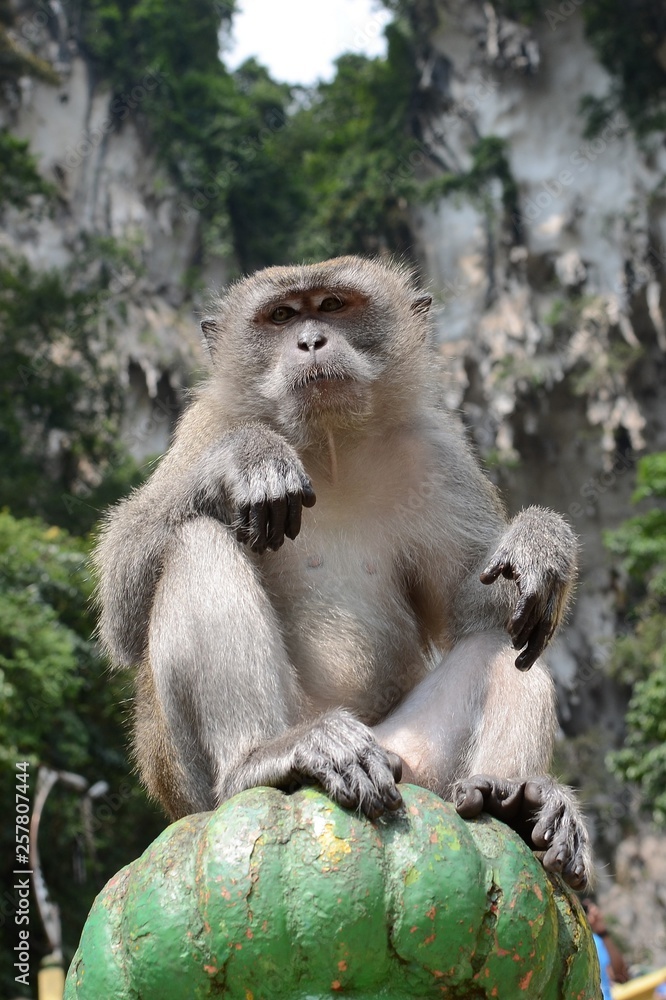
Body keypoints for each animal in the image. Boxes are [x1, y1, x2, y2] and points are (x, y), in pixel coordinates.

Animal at [94, 255, 591, 888]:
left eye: (332, 305)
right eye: (282, 315)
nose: (310, 341)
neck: (327, 444)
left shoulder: (437, 454)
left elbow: (481, 608)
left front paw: (541, 542)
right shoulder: (205, 425)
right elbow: (121, 609)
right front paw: (249, 458)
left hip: (412, 763)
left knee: (506, 635)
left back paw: (512, 799)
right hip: (194, 784)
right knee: (195, 540)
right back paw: (260, 759)